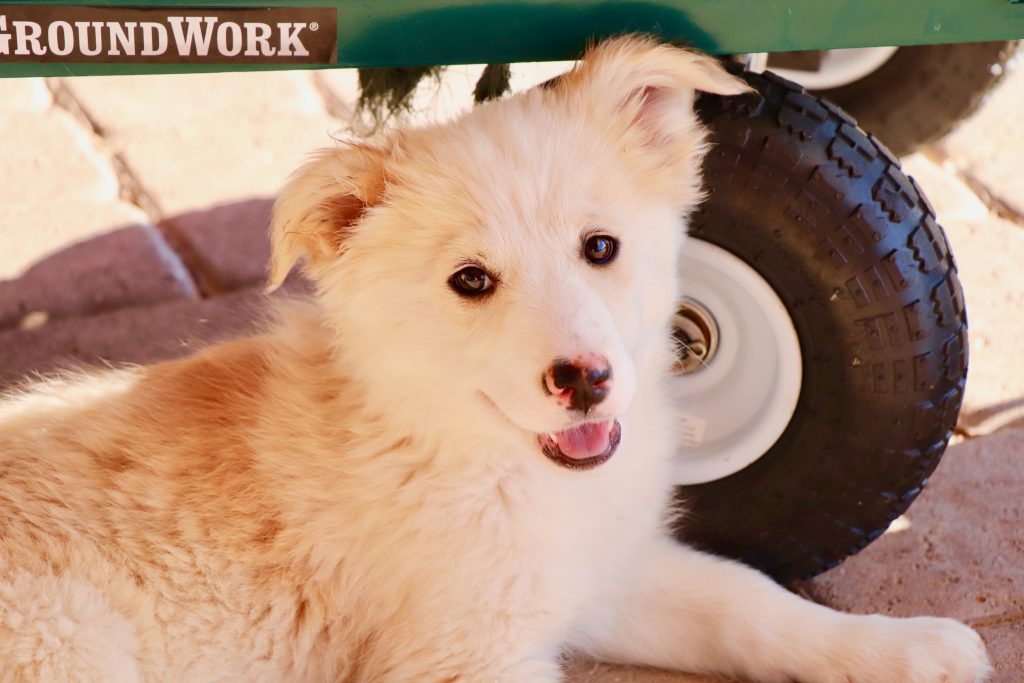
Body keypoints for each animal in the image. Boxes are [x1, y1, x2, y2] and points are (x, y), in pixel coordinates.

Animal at [0, 36, 991, 682]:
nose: (587, 380)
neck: (450, 443)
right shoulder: (465, 653)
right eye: (470, 281)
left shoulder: (604, 574)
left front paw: (914, 647)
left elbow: (751, 604)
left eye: (601, 247)